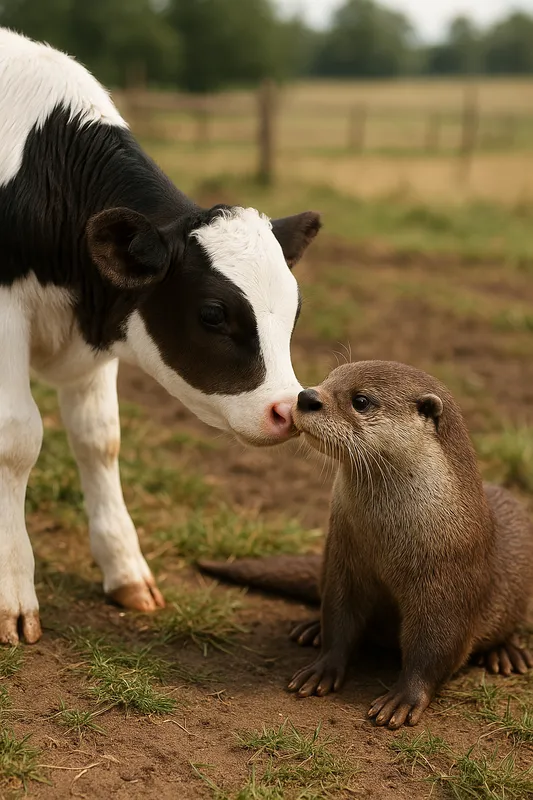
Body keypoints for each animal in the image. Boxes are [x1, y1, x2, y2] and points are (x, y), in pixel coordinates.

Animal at [0, 28, 321, 645]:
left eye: (294, 313)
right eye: (214, 313)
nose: (287, 409)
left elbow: (100, 438)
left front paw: (126, 571)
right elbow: (16, 438)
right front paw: (12, 592)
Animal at [199, 361, 533, 729]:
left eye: (361, 401)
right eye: (329, 379)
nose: (306, 396)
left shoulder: (446, 583)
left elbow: (433, 650)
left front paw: (404, 699)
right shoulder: (342, 562)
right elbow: (339, 619)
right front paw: (322, 667)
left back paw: (507, 654)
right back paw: (311, 629)